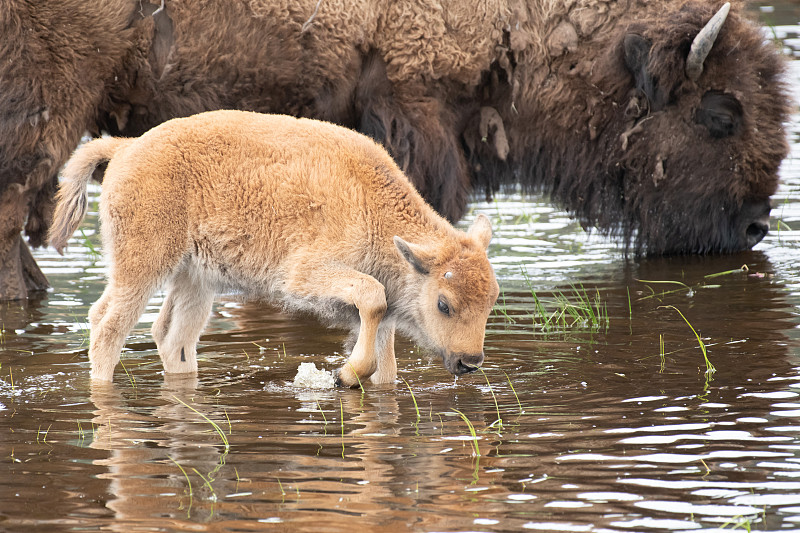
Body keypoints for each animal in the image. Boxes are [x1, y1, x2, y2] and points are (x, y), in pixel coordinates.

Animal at [48, 110, 500, 384]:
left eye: (492, 300)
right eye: (443, 303)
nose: (470, 362)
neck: (372, 207)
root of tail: (126, 146)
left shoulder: (384, 316)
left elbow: (385, 363)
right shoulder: (306, 276)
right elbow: (371, 297)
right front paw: (345, 376)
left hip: (195, 280)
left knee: (171, 335)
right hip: (143, 264)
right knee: (108, 326)